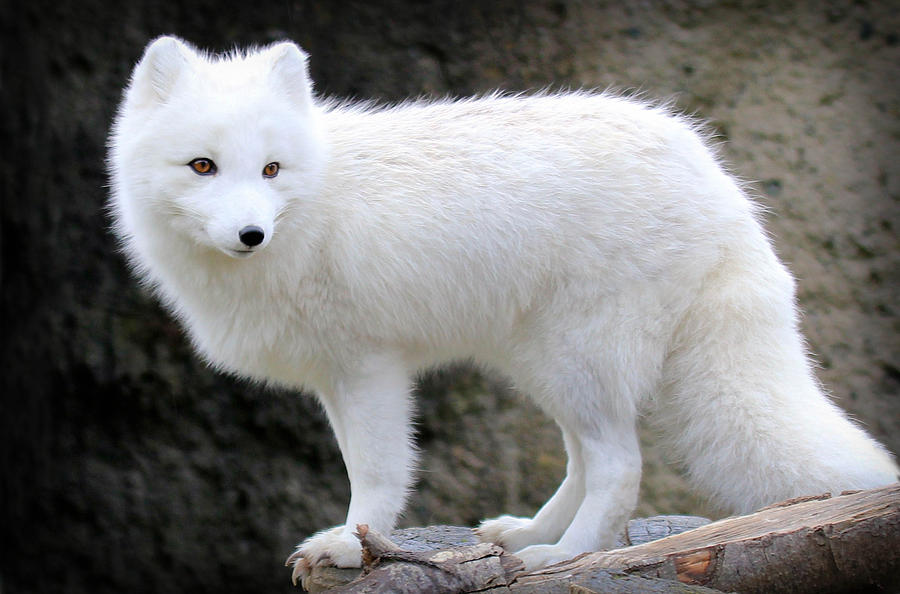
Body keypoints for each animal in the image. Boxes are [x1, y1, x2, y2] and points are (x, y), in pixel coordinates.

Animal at [109, 37, 896, 584]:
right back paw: (524, 537)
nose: (251, 234)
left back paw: (566, 557)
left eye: (271, 170)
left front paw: (352, 546)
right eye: (203, 166)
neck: (317, 201)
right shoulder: (339, 375)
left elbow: (378, 474)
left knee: (620, 465)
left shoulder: (367, 368)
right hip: (544, 364)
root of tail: (722, 185)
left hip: (578, 360)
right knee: (584, 461)